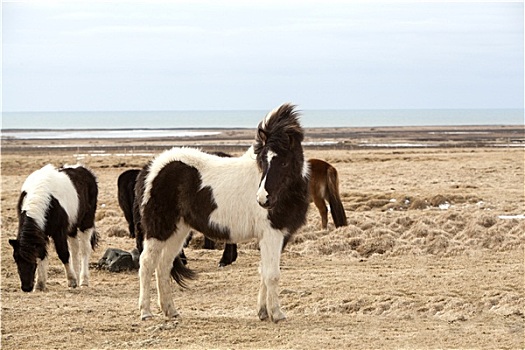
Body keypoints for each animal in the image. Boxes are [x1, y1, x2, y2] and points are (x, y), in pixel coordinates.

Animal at [8, 164, 98, 292]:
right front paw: (40, 284)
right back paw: (76, 274)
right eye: (16, 259)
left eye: (32, 260)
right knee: (75, 249)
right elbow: (42, 254)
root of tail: (84, 170)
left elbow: (63, 253)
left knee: (85, 249)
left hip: (86, 223)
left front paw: (71, 281)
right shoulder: (42, 234)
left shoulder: (59, 232)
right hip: (72, 227)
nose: (26, 287)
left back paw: (83, 280)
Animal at [133, 102, 312, 322]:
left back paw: (171, 310)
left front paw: (263, 312)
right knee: (147, 263)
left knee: (164, 265)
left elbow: (264, 271)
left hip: (178, 231)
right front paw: (277, 314)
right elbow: (272, 274)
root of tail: (149, 169)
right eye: (263, 160)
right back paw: (146, 312)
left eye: (285, 162)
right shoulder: (272, 234)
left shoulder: (277, 236)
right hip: (159, 229)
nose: (262, 199)